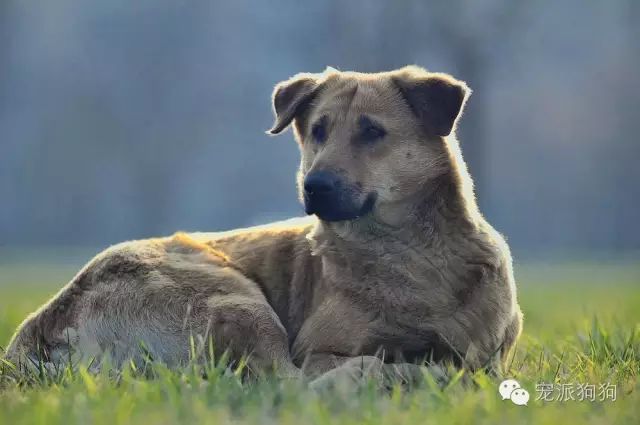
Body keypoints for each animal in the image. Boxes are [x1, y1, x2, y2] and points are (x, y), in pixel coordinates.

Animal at [5, 65, 524, 384]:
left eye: (372, 132)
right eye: (318, 130)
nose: (315, 186)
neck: (409, 257)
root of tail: (37, 334)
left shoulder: (491, 352)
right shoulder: (319, 350)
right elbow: (340, 369)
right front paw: (415, 369)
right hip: (231, 295)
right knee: (289, 385)